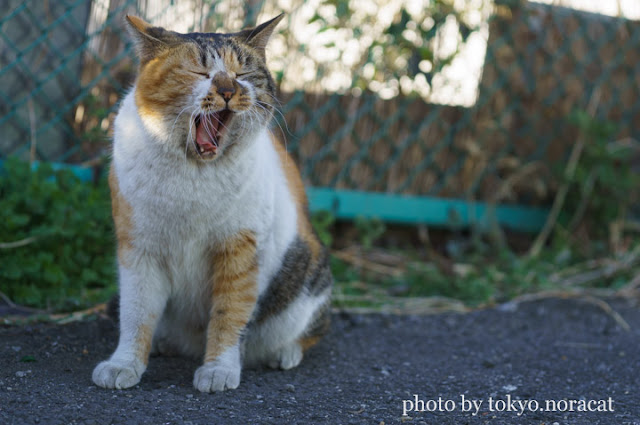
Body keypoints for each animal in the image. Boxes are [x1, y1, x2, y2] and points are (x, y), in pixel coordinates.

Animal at [92, 13, 332, 392]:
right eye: (199, 72)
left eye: (243, 73)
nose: (228, 90)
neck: (194, 175)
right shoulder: (139, 248)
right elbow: (135, 312)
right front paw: (124, 365)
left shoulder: (241, 249)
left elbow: (230, 313)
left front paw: (219, 369)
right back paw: (162, 343)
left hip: (307, 273)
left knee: (305, 329)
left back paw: (285, 353)